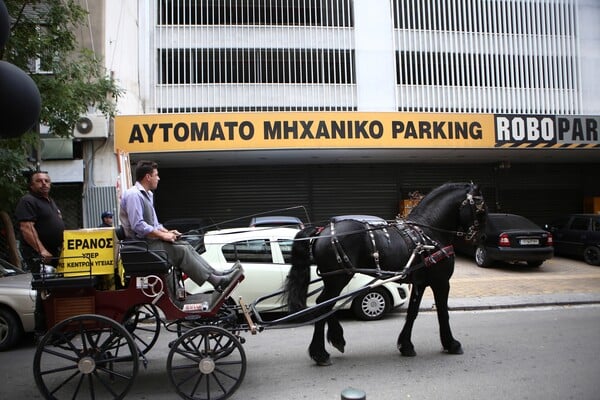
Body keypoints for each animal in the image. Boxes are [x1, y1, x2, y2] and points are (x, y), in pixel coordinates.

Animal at [284, 181, 488, 366]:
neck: (429, 232)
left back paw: (335, 339)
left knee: (326, 305)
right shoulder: (441, 282)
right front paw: (451, 344)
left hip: (335, 278)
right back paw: (320, 353)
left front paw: (406, 345)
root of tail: (321, 231)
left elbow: (412, 313)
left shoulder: (420, 283)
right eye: (481, 208)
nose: (483, 238)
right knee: (323, 305)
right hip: (338, 278)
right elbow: (443, 313)